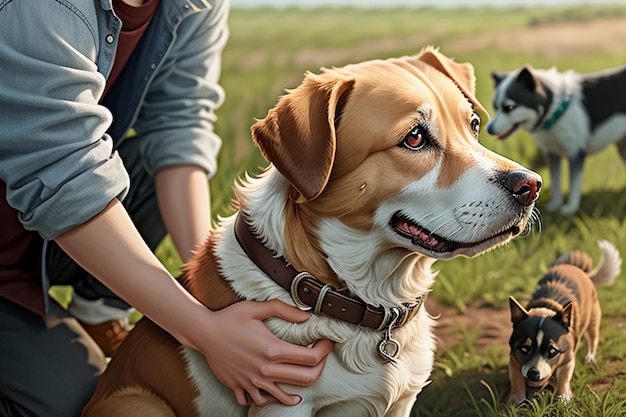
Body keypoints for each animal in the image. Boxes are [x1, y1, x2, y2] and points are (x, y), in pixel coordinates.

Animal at [508, 239, 620, 404]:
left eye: (552, 351)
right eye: (524, 348)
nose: (533, 373)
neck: (546, 308)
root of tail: (576, 267)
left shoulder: (568, 357)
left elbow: (564, 376)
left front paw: (563, 397)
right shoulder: (513, 358)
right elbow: (516, 379)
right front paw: (516, 400)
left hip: (593, 320)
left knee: (593, 339)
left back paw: (590, 358)